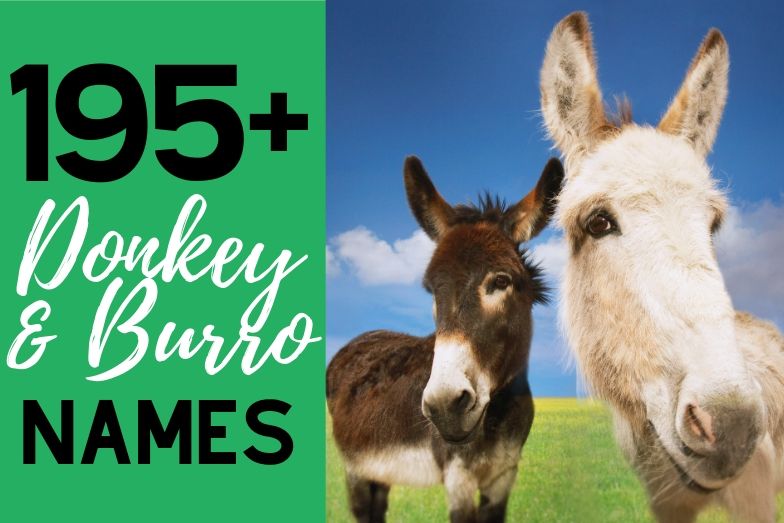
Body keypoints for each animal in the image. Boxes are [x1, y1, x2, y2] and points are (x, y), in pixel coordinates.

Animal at [327, 156, 564, 522]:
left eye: (500, 281)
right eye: (432, 290)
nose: (444, 405)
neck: (497, 416)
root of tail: (360, 339)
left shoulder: (504, 475)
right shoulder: (458, 477)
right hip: (356, 468)